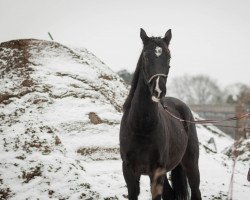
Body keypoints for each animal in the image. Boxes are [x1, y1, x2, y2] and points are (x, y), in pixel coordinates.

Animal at [118, 28, 201, 200]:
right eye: (145, 56)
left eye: (168, 56)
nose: (158, 90)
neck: (141, 126)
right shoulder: (129, 172)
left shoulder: (157, 172)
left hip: (191, 164)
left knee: (196, 190)